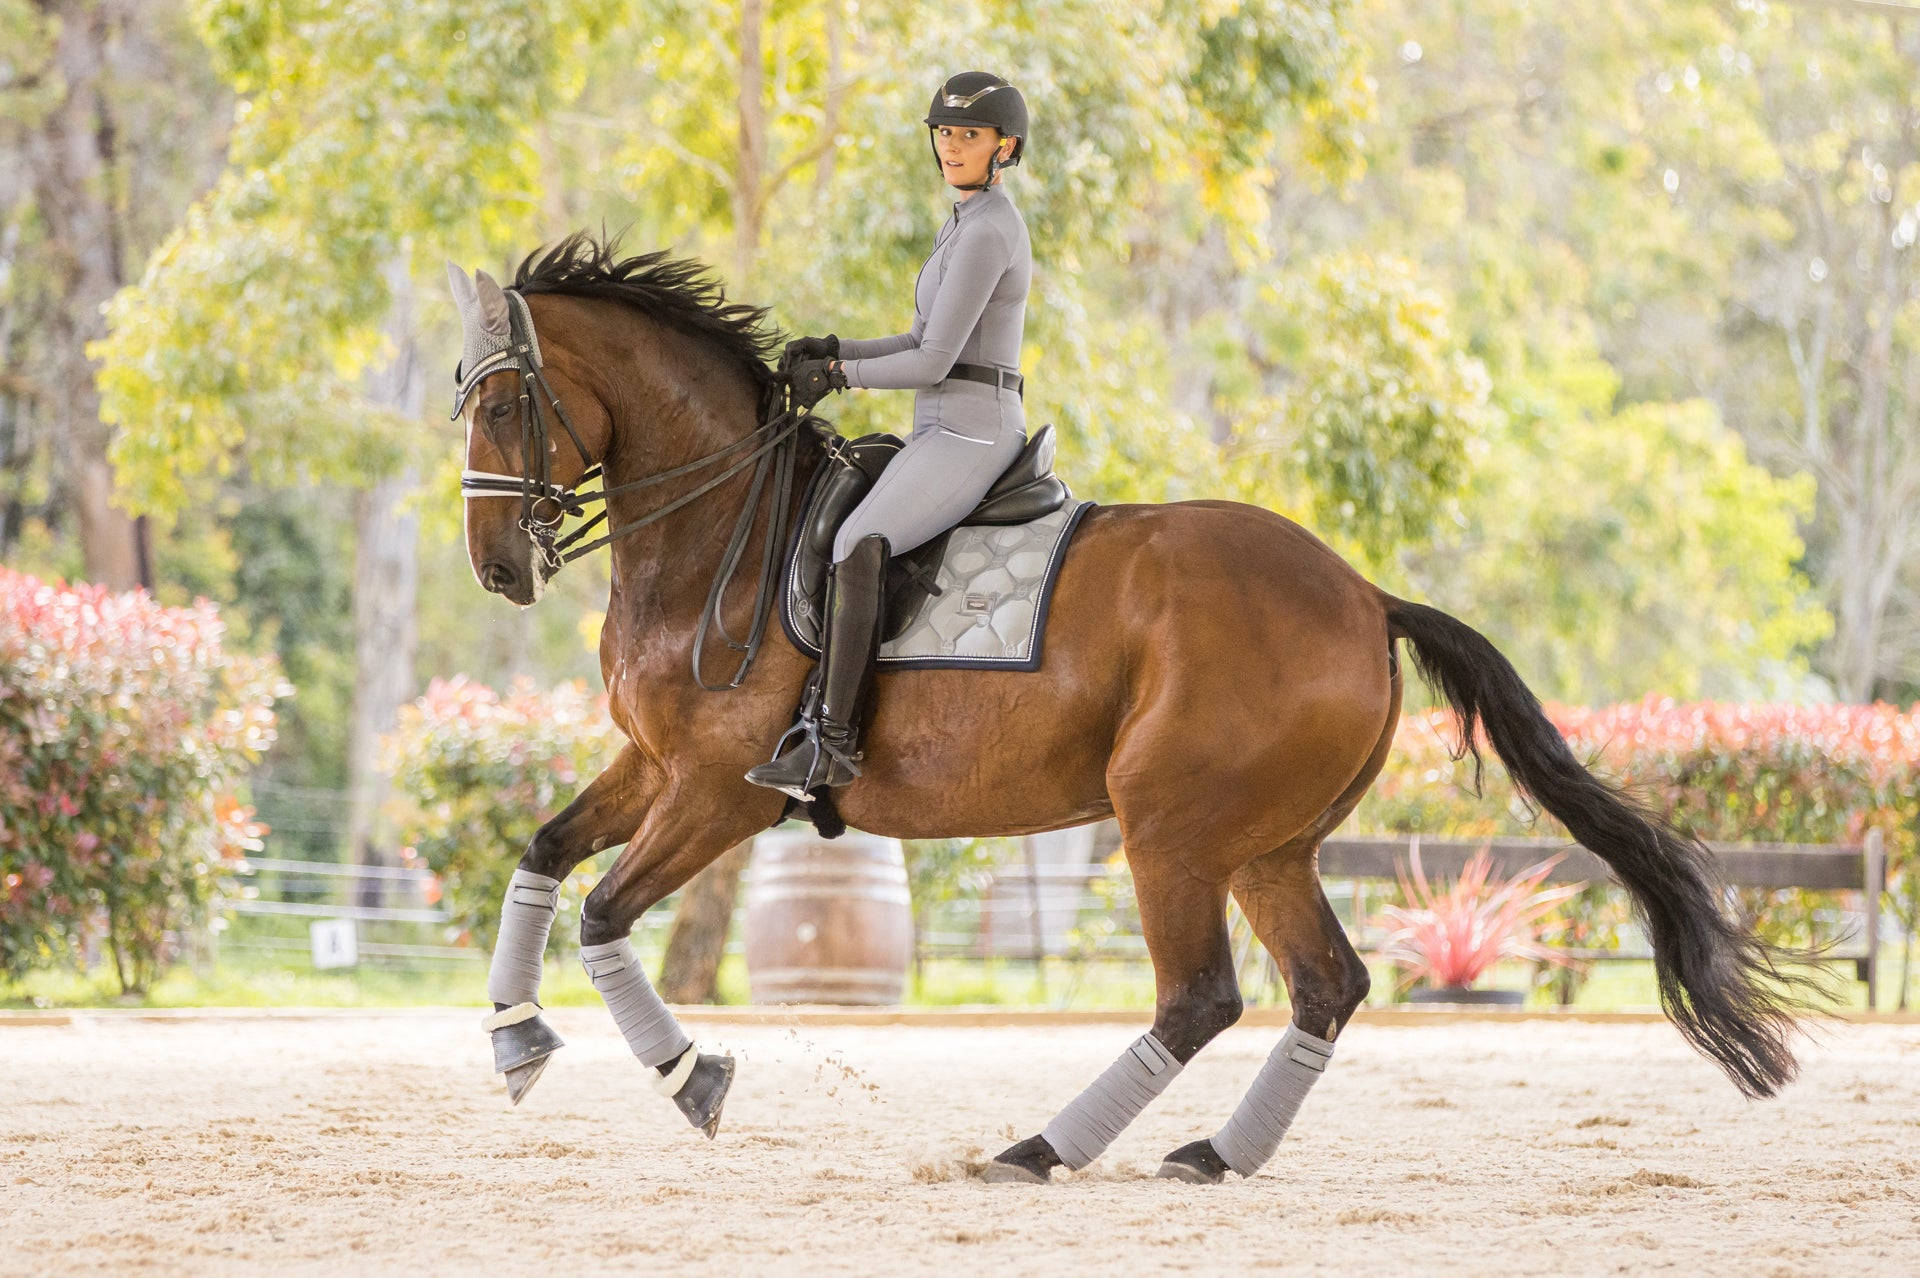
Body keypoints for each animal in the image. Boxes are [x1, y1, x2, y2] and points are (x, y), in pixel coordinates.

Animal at [456, 234, 1804, 1182]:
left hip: (1167, 824)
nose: (498, 570)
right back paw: (1214, 1156)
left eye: (508, 404)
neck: (718, 528)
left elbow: (603, 913)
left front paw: (692, 1075)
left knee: (1202, 996)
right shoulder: (654, 765)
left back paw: (1040, 1149)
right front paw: (515, 1043)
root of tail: (1363, 593)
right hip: (1264, 844)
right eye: (465, 398)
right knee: (1327, 984)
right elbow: (542, 857)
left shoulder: (722, 792)